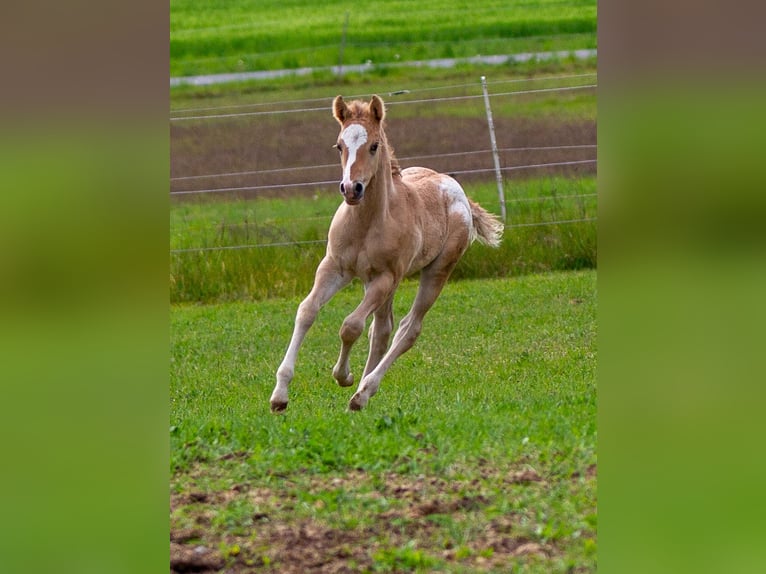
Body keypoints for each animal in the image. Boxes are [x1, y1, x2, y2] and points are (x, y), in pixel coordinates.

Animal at [270, 94, 503, 412]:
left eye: (374, 145)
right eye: (339, 145)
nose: (351, 189)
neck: (367, 223)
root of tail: (458, 191)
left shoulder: (385, 277)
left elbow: (351, 325)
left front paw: (343, 376)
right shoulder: (334, 268)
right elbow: (307, 311)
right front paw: (280, 395)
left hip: (435, 271)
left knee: (408, 329)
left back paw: (363, 392)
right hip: (377, 281)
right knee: (382, 330)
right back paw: (359, 392)